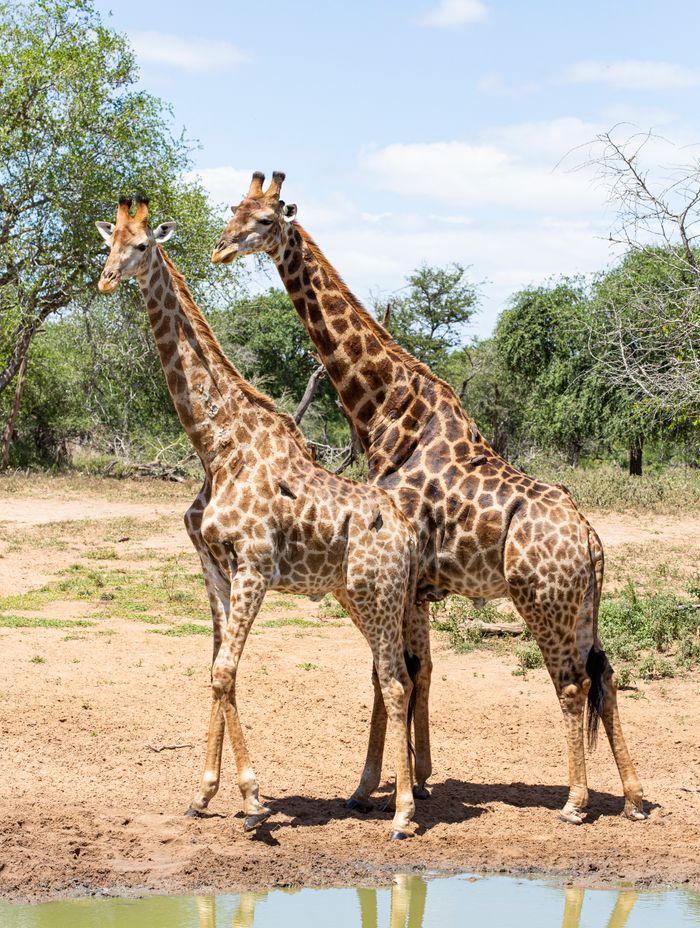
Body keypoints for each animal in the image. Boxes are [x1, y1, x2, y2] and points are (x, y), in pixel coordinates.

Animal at [95, 196, 422, 839]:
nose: (106, 279)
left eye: (142, 245)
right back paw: (382, 795)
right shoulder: (214, 566)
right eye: (108, 243)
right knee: (388, 674)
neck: (216, 446)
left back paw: (402, 813)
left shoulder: (254, 565)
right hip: (356, 595)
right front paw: (205, 794)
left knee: (397, 681)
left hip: (379, 591)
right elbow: (219, 669)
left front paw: (252, 802)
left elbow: (224, 672)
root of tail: (406, 530)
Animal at [212, 171, 647, 825]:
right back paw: (634, 797)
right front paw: (411, 778)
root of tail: (592, 539)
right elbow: (412, 673)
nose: (220, 249)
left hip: (542, 600)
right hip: (582, 605)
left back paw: (575, 801)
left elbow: (390, 674)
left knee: (572, 684)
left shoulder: (397, 577)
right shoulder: (415, 586)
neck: (386, 411)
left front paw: (374, 786)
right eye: (233, 209)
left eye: (265, 221)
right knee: (606, 674)